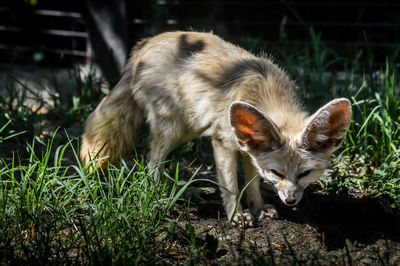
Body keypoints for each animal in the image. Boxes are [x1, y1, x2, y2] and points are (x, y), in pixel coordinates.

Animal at [80, 31, 350, 227]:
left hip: (188, 128)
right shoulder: (223, 142)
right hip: (174, 128)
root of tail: (143, 45)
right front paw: (235, 216)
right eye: (278, 173)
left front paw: (258, 208)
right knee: (152, 159)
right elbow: (230, 186)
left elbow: (252, 183)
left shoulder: (249, 148)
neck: (264, 92)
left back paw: (181, 190)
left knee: (158, 160)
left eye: (305, 173)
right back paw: (162, 193)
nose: (291, 201)